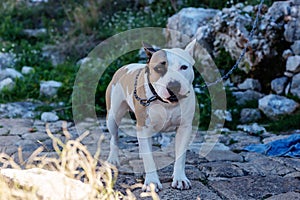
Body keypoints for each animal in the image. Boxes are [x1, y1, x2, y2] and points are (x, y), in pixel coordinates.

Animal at [106, 39, 197, 191]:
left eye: (184, 67)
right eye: (159, 68)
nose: (174, 86)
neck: (165, 103)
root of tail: (124, 67)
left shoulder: (185, 128)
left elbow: (180, 156)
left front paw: (180, 178)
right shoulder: (143, 127)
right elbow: (149, 159)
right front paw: (152, 182)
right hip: (113, 116)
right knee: (114, 136)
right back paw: (113, 158)